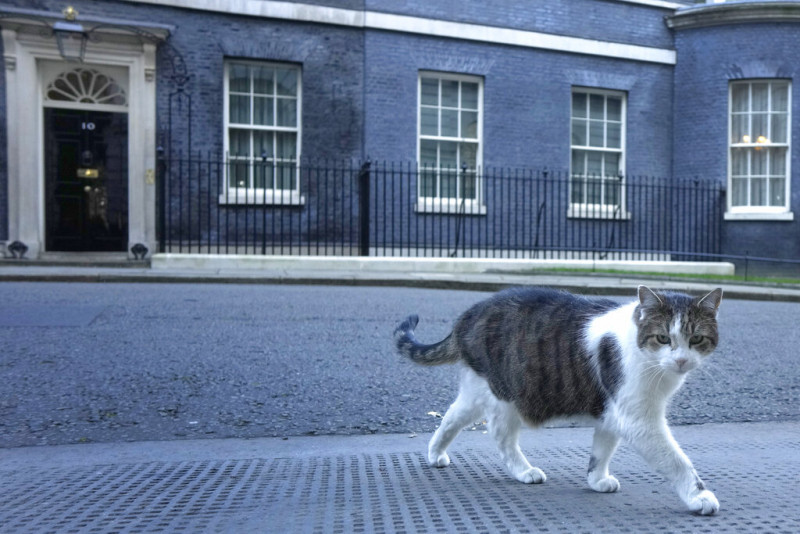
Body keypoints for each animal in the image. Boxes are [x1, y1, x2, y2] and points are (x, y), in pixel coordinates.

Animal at [394, 286, 724, 516]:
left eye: (696, 339)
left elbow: (602, 450)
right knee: (500, 436)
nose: (681, 361)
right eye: (663, 338)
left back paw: (435, 453)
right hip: (506, 396)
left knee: (451, 416)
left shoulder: (611, 410)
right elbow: (677, 461)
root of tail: (468, 315)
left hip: (478, 389)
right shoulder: (638, 419)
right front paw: (698, 496)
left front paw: (597, 479)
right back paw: (524, 471)